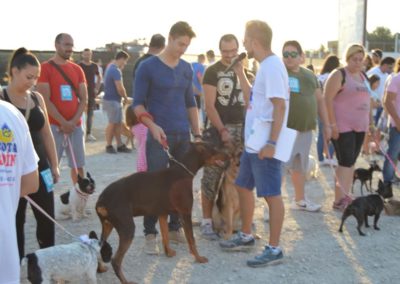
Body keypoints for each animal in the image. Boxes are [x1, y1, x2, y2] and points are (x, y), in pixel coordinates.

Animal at [95, 142, 228, 284]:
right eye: (214, 148)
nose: (229, 156)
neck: (184, 172)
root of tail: (101, 200)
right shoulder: (185, 213)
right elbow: (192, 240)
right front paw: (199, 258)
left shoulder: (163, 214)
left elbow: (165, 236)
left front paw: (168, 253)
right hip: (127, 228)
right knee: (116, 261)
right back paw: (126, 281)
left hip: (108, 225)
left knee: (97, 247)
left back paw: (100, 268)